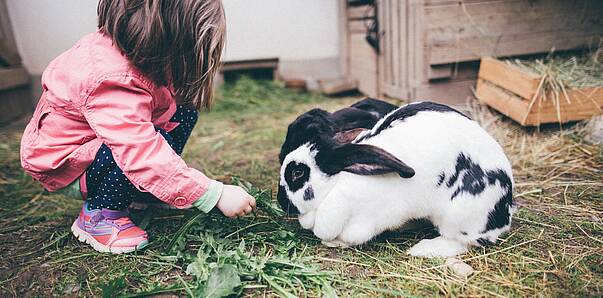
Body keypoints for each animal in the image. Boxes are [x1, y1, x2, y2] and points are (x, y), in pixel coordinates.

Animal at [278, 99, 516, 258]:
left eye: (297, 173)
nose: (281, 202)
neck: (335, 186)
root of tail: (505, 209)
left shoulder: (368, 218)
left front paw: (334, 243)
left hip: (459, 215)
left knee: (466, 242)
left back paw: (424, 249)